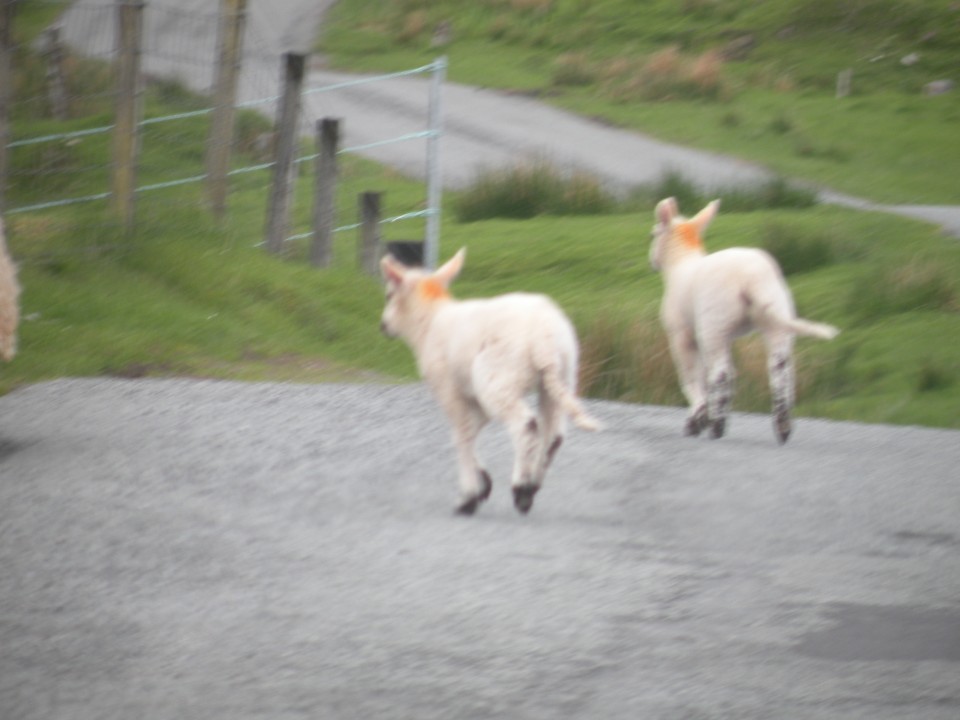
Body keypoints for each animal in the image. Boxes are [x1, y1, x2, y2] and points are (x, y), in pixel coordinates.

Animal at [378, 250, 596, 516]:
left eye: (389, 295)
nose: (383, 326)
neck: (428, 323)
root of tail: (542, 338)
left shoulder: (449, 388)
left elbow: (462, 435)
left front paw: (469, 496)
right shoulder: (474, 396)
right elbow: (471, 430)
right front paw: (483, 482)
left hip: (497, 378)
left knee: (525, 425)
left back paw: (521, 488)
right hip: (560, 374)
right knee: (553, 435)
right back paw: (532, 485)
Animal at [648, 198, 836, 444]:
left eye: (652, 234)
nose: (651, 262)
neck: (680, 263)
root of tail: (751, 277)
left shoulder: (680, 334)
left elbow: (690, 377)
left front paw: (697, 420)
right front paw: (699, 419)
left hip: (714, 321)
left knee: (721, 373)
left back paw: (717, 426)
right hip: (775, 311)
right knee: (780, 368)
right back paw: (783, 426)